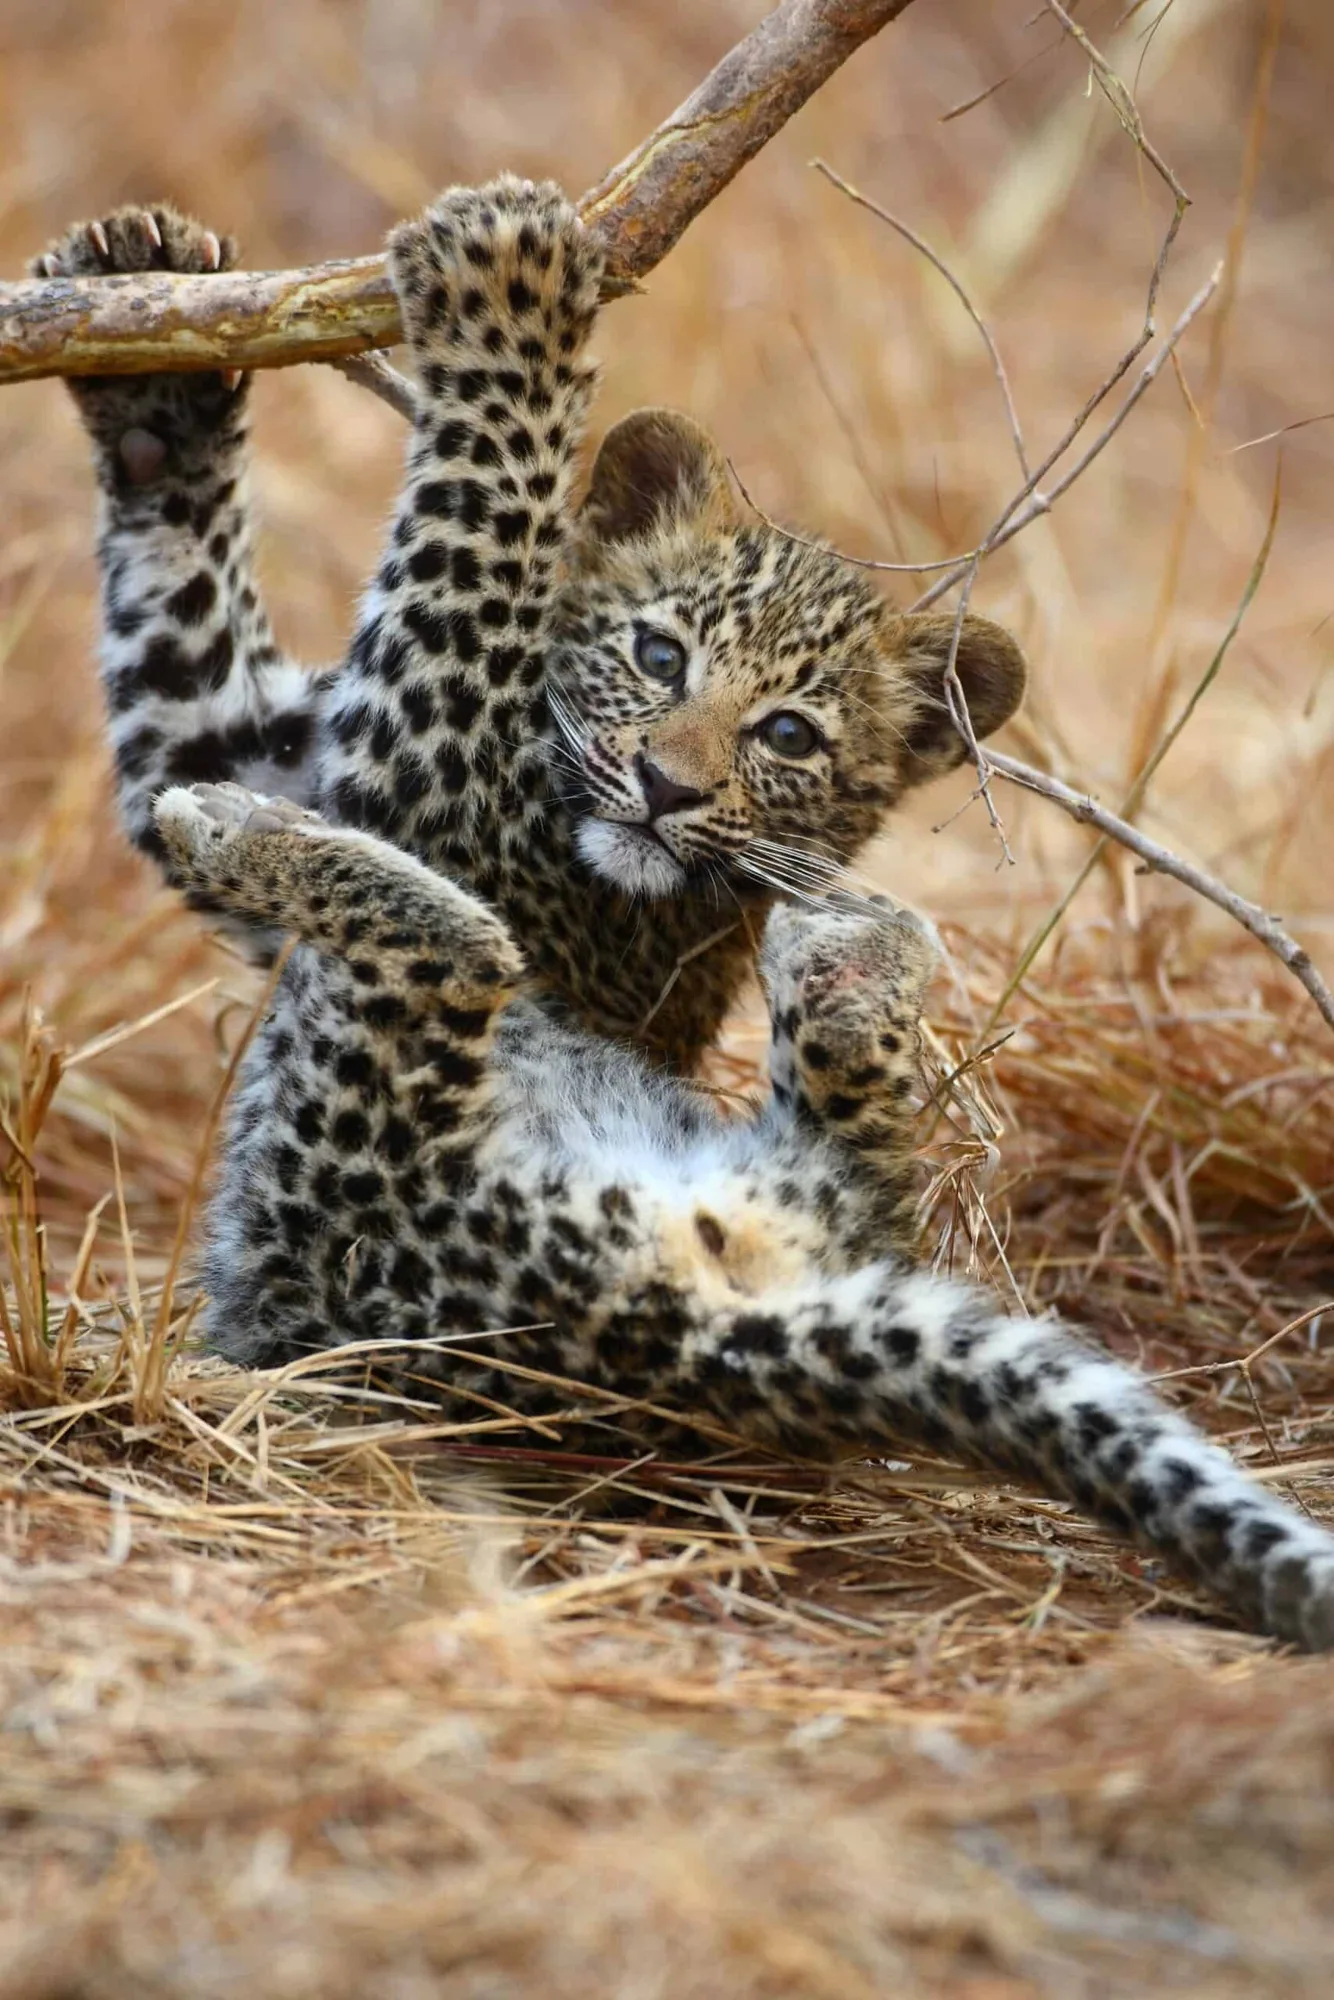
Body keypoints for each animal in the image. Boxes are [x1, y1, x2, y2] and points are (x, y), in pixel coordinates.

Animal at [36, 181, 1334, 1649]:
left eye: (787, 735)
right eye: (658, 653)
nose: (665, 787)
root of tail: (670, 1328)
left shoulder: (412, 771)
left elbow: (479, 527)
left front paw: (514, 288)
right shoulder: (285, 747)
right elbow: (183, 659)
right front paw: (150, 363)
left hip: (365, 1138)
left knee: (459, 948)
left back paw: (247, 835)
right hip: (802, 1196)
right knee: (866, 1140)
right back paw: (855, 948)